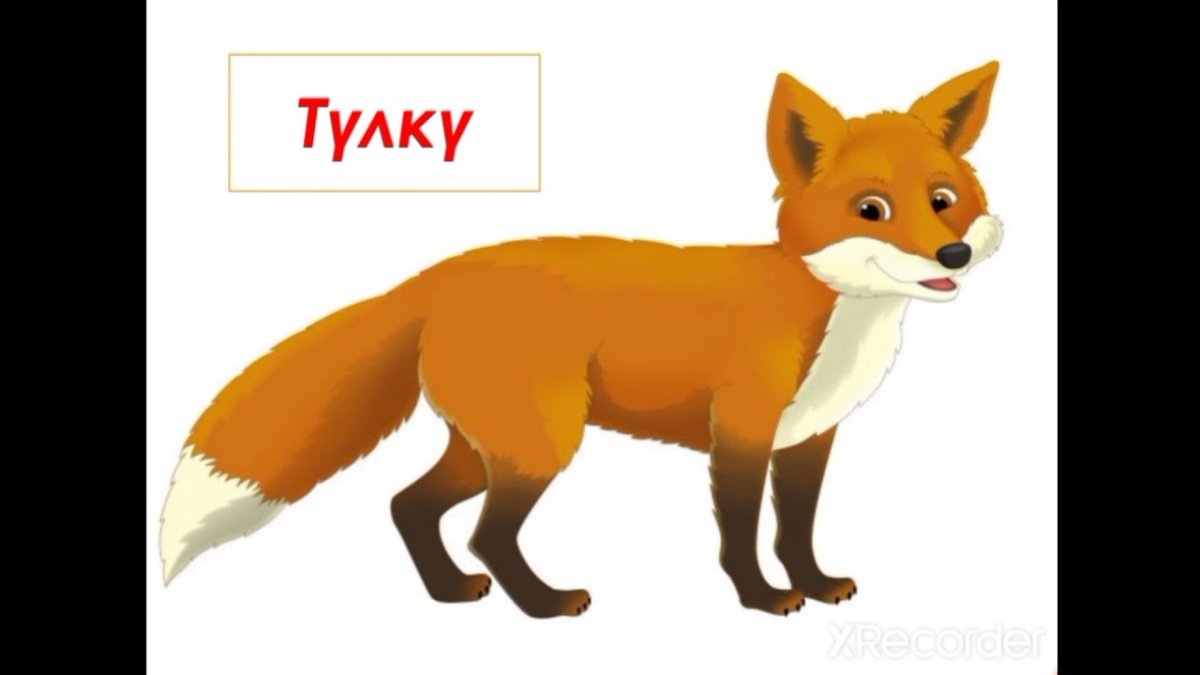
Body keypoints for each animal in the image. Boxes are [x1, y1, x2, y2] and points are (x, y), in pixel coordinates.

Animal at [160, 62, 1003, 618]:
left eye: (943, 199)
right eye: (872, 209)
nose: (954, 254)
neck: (830, 316)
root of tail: (435, 274)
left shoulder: (808, 437)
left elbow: (797, 527)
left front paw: (818, 583)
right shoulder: (740, 431)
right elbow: (740, 533)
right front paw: (763, 597)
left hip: (491, 448)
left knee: (408, 506)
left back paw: (448, 592)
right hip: (542, 444)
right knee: (484, 534)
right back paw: (540, 602)